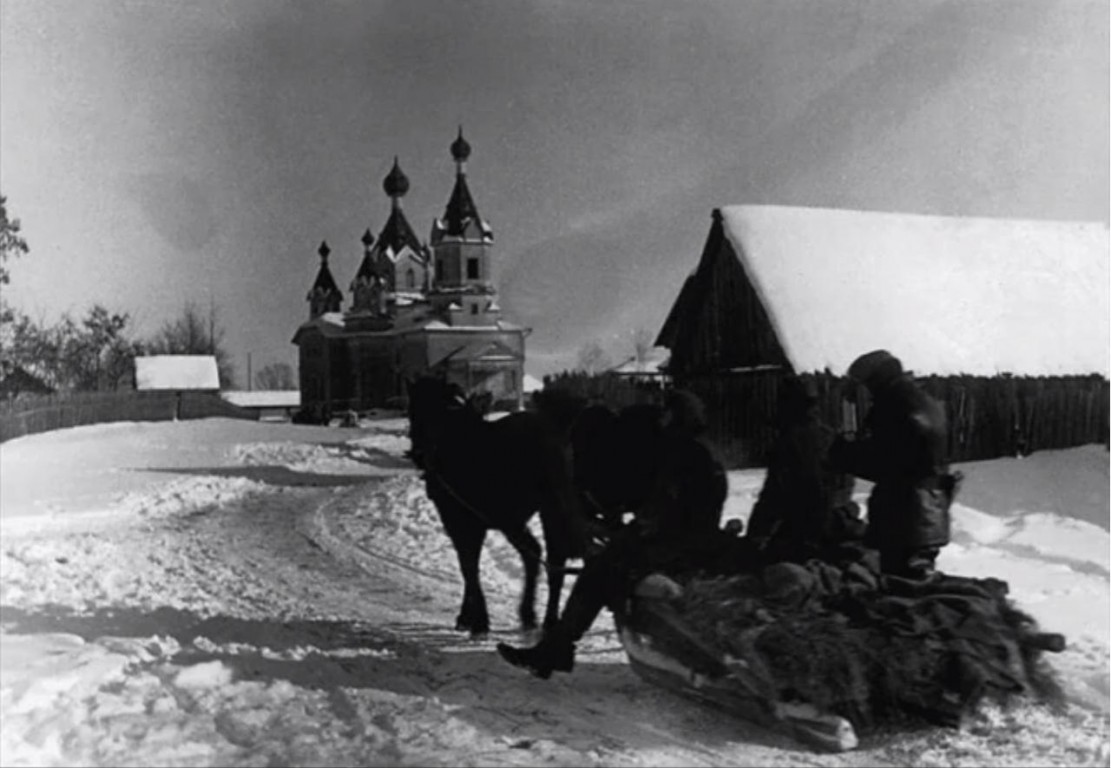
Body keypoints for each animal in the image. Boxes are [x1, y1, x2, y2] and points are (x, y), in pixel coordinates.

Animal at [406, 377, 591, 635]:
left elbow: (468, 566)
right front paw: (471, 617)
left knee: (545, 556)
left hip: (523, 516)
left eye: (413, 410)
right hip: (537, 513)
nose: (416, 453)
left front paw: (476, 619)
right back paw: (540, 617)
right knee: (547, 557)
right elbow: (469, 565)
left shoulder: (460, 521)